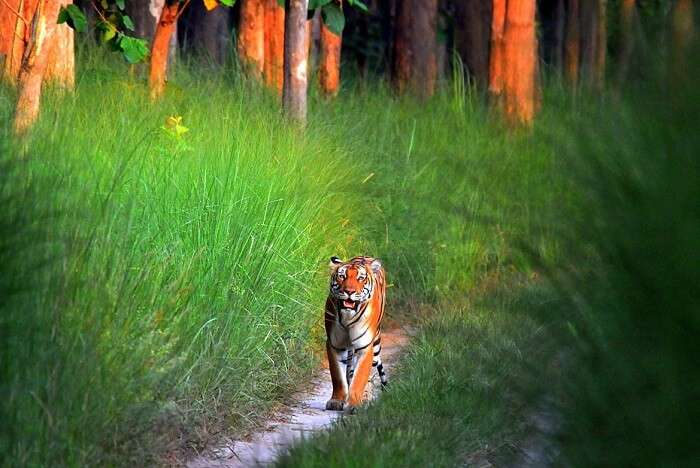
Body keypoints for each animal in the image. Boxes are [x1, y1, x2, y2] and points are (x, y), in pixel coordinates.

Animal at [324, 254, 388, 412]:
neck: (347, 317)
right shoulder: (335, 344)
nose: (349, 291)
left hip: (375, 344)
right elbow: (337, 376)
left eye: (361, 278)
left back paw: (366, 397)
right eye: (342, 276)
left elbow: (360, 377)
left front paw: (353, 403)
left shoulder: (365, 346)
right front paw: (336, 401)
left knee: (371, 372)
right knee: (349, 370)